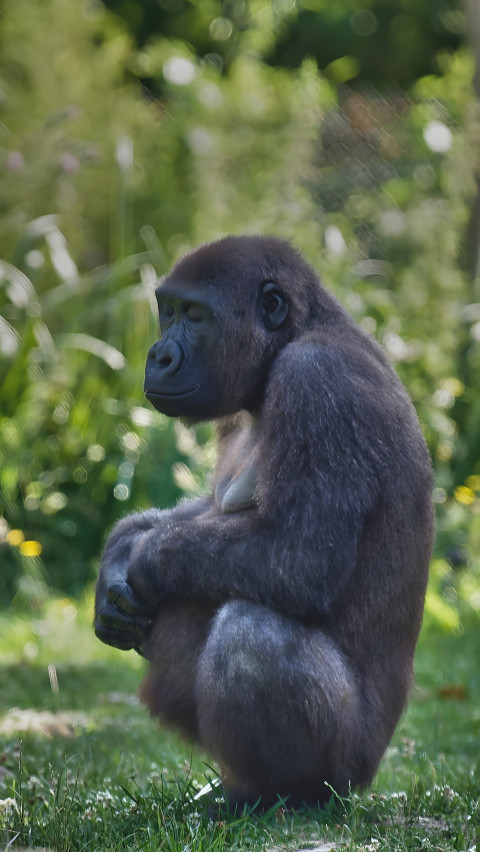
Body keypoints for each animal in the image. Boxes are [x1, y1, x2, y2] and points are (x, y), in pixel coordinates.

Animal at [94, 235, 434, 810]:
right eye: (168, 312)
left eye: (196, 316)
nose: (158, 354)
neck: (298, 332)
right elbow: (205, 510)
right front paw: (120, 551)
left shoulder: (317, 380)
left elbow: (297, 558)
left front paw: (142, 560)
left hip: (354, 766)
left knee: (250, 633)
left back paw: (285, 796)